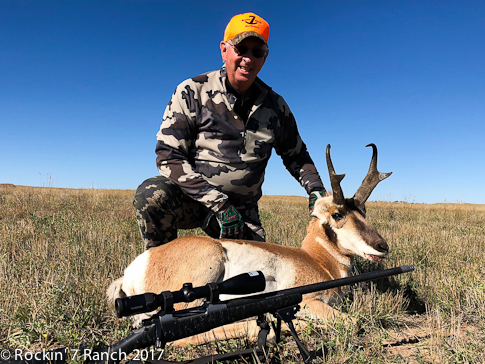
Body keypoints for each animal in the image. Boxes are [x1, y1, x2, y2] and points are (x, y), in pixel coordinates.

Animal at [106, 144, 390, 344]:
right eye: (338, 214)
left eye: (363, 211)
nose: (382, 247)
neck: (317, 259)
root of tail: (133, 270)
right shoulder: (311, 302)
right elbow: (352, 322)